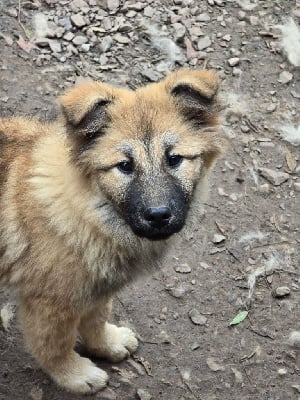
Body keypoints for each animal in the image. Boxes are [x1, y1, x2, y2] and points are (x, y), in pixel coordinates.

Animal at [0, 69, 225, 394]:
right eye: (125, 166)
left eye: (174, 159)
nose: (158, 216)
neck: (87, 210)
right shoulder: (50, 303)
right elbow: (55, 345)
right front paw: (75, 375)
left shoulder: (96, 287)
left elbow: (96, 319)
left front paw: (107, 344)